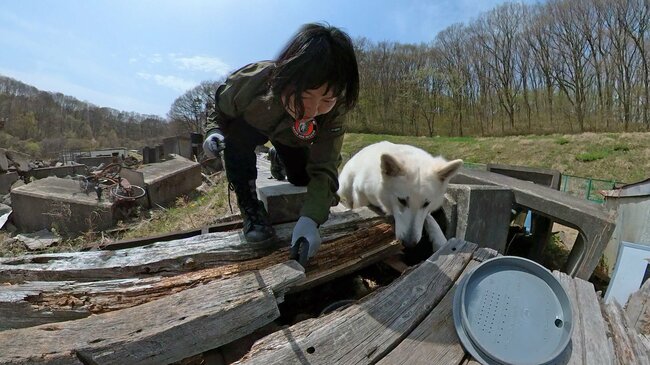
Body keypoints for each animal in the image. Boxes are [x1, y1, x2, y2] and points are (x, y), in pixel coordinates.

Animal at [336, 141, 464, 249]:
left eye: (426, 203)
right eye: (402, 201)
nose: (409, 244)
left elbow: (430, 219)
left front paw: (440, 240)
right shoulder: (359, 191)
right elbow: (359, 207)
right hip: (346, 184)